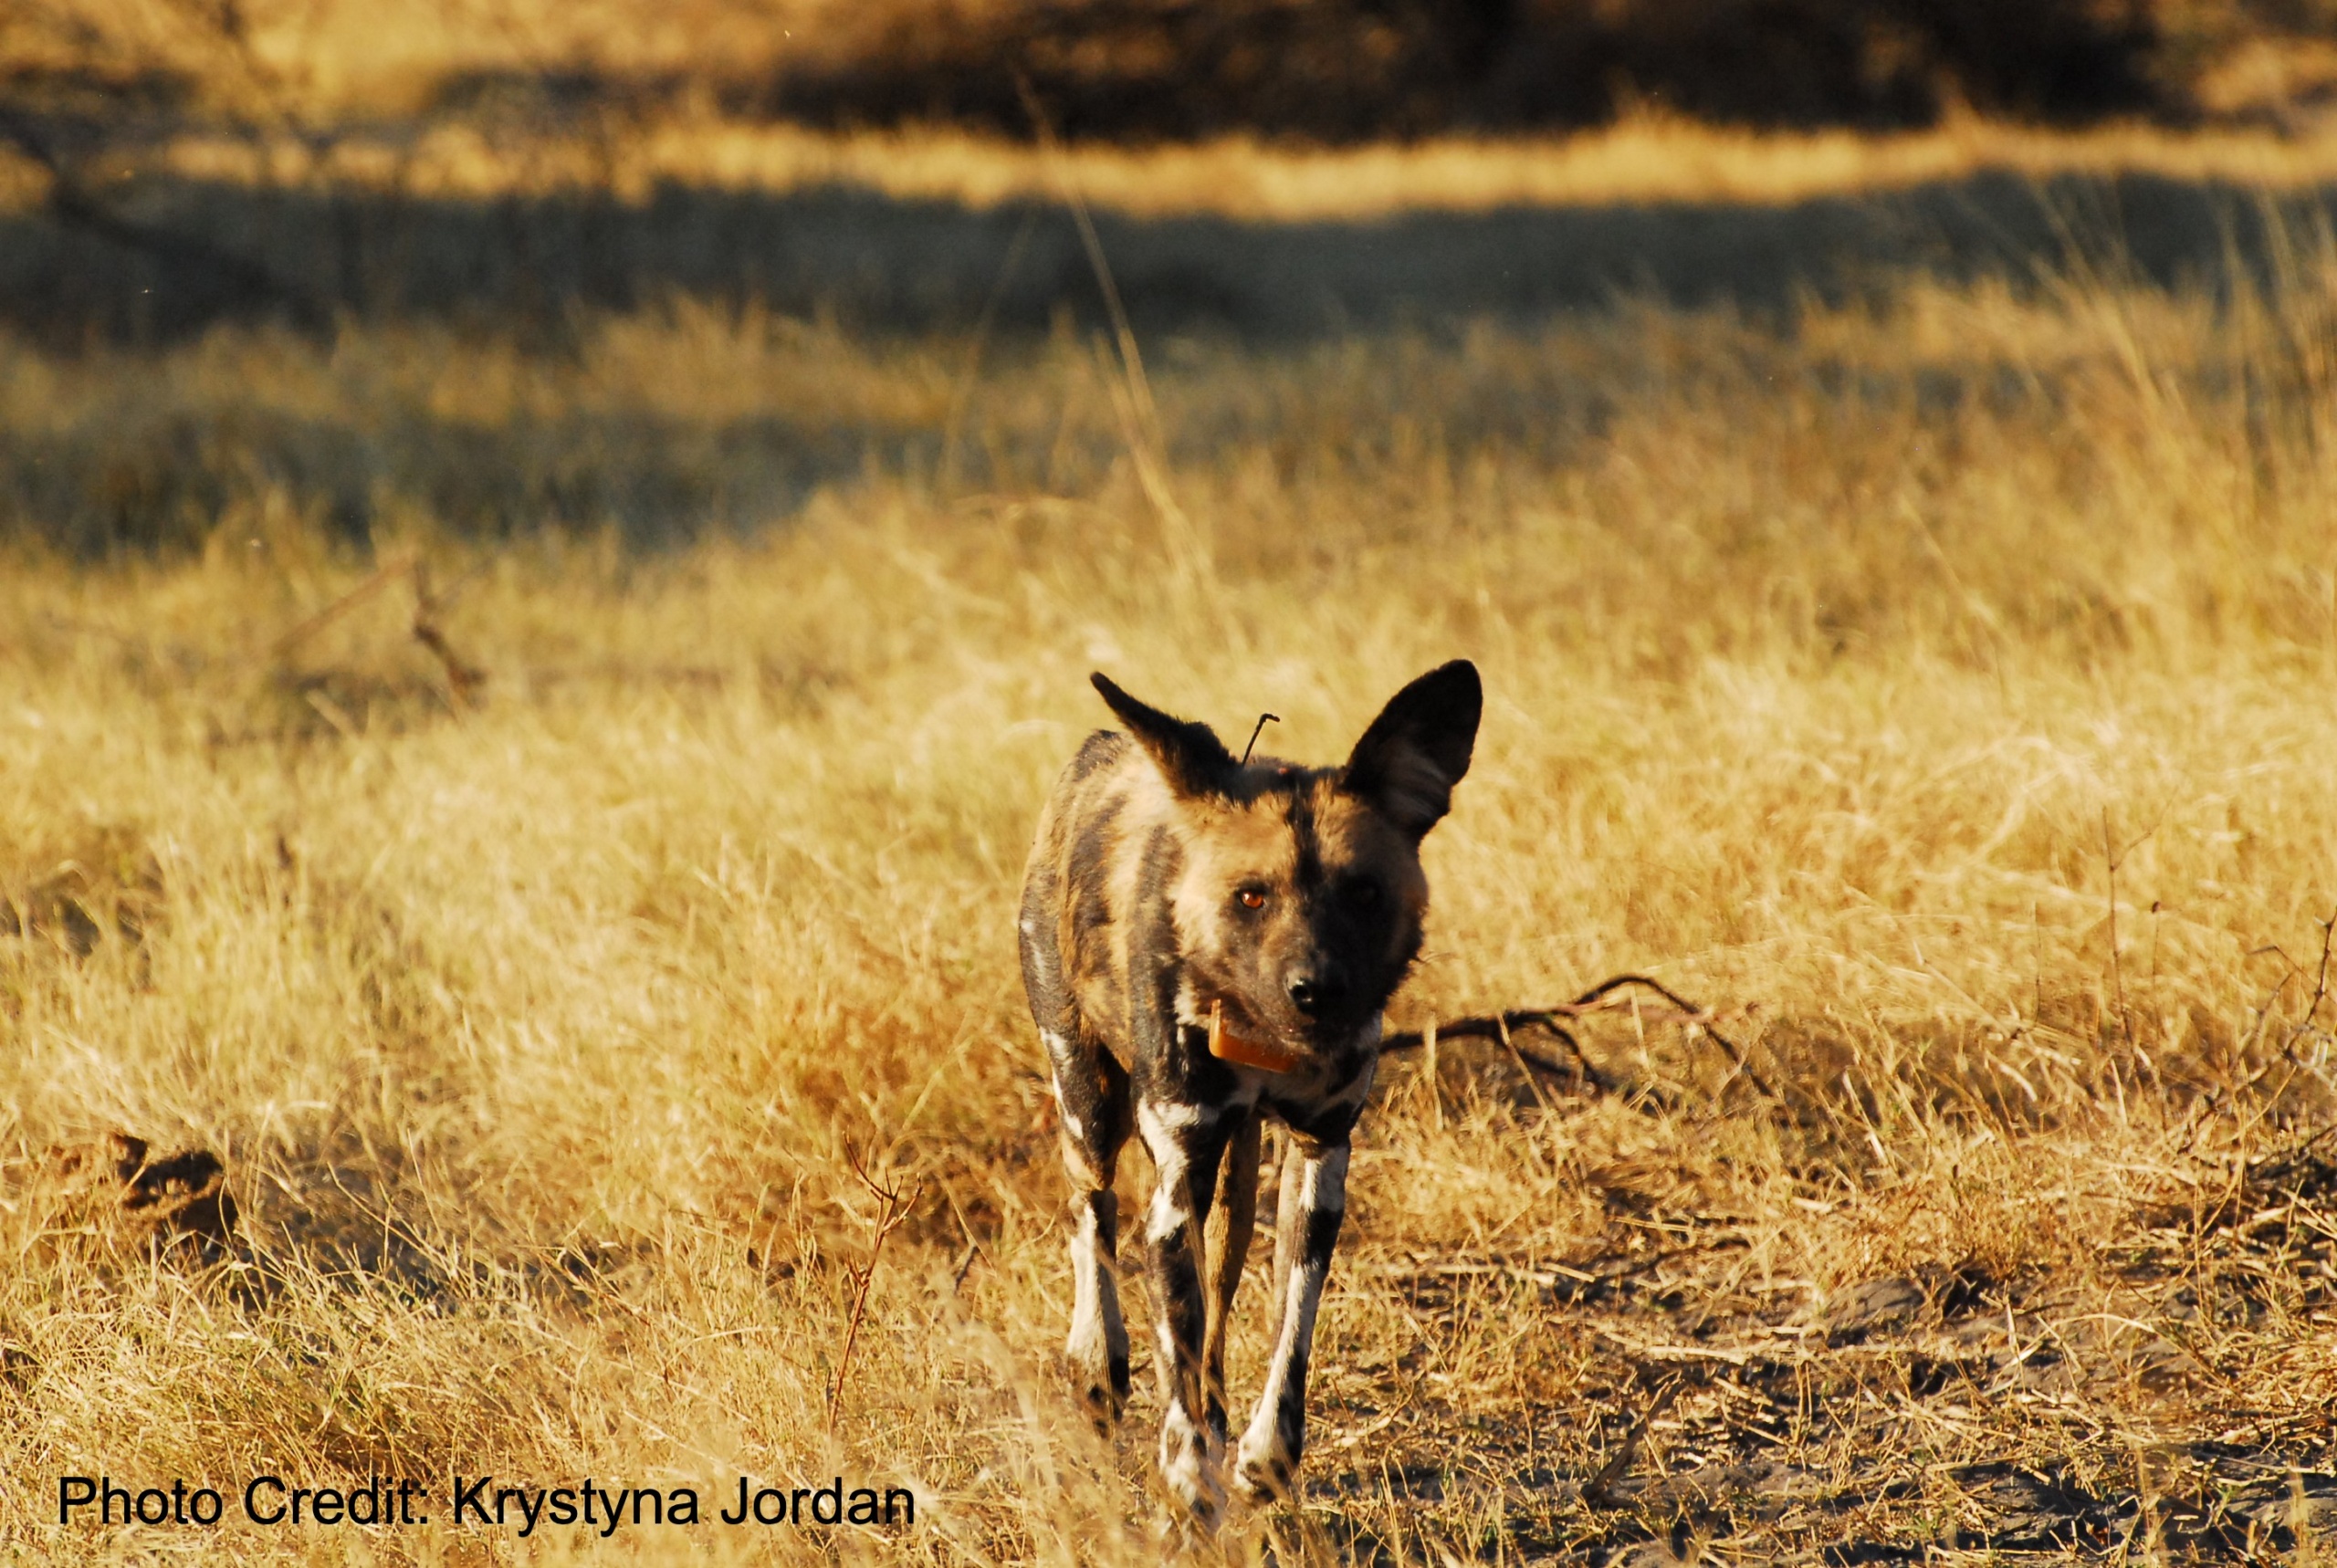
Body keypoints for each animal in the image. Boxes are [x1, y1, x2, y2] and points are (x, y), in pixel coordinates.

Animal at [1019, 664, 1476, 1532]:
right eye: (1252, 897)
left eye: (1364, 893)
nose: (1316, 990)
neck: (1264, 1036)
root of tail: (1104, 744)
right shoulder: (1174, 1189)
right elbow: (1177, 1362)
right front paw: (1188, 1483)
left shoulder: (1319, 1161)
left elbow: (1289, 1335)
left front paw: (1264, 1463)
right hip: (1090, 1107)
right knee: (1092, 1212)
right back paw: (1098, 1362)